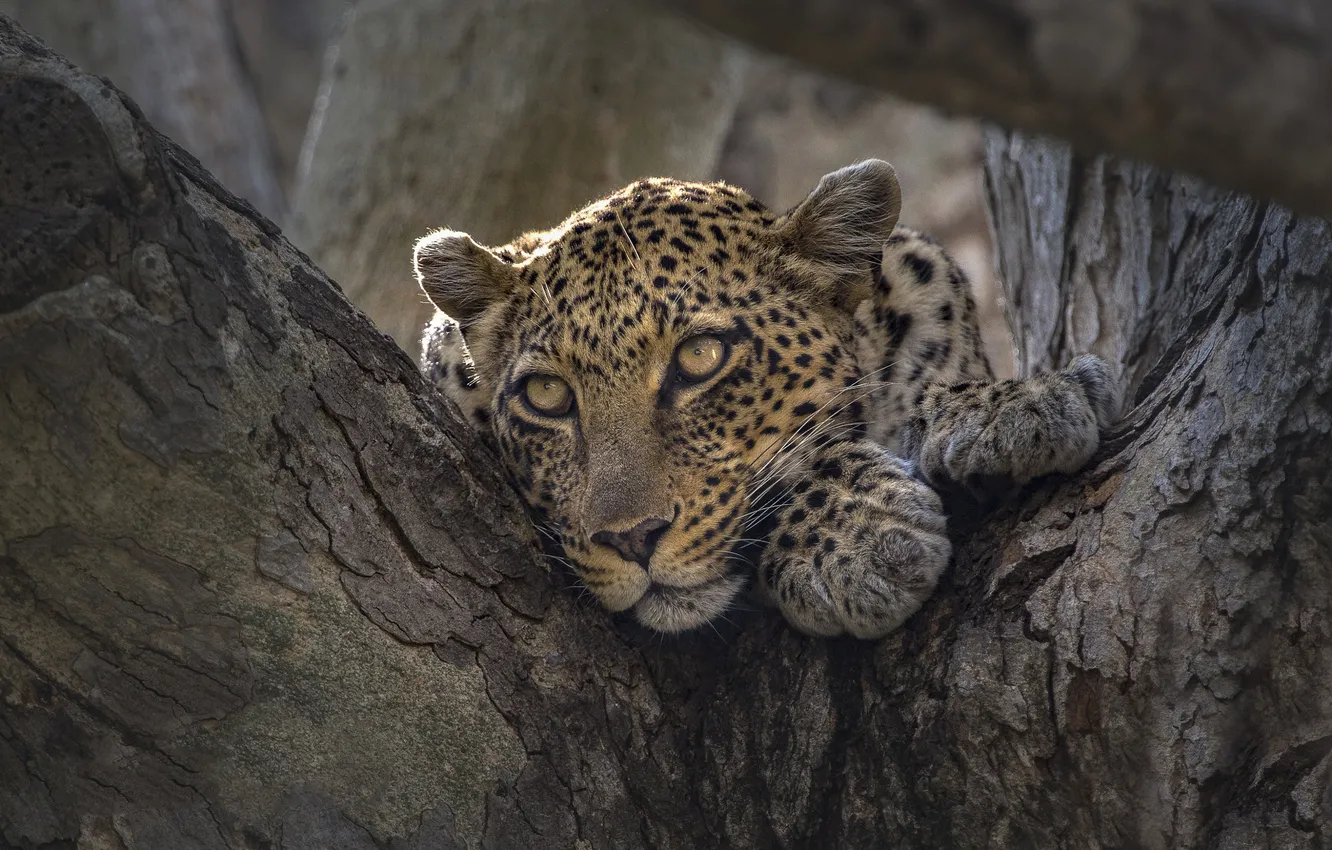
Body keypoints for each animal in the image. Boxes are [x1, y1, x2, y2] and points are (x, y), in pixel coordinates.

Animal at [413, 160, 1118, 639]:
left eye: (700, 357)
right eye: (547, 394)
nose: (632, 539)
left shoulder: (923, 277)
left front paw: (1012, 405)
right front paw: (858, 541)